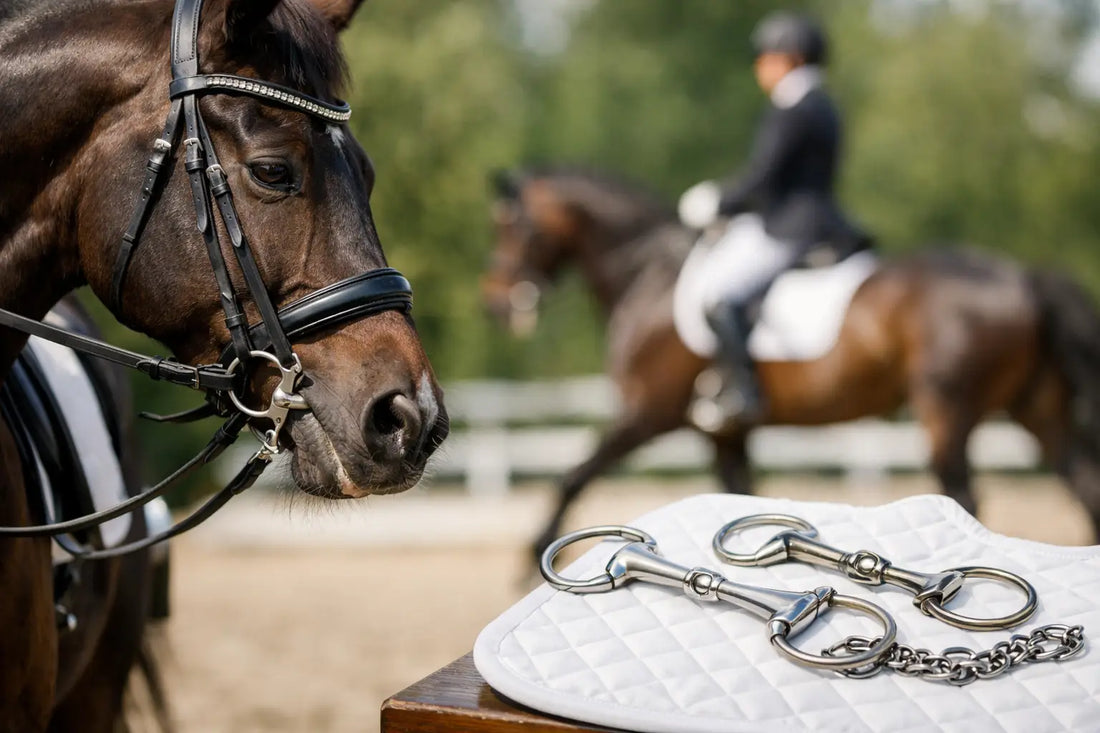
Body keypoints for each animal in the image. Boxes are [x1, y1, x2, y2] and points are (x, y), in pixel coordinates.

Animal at [482, 167, 1100, 560]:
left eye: (513, 226)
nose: (496, 304)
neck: (646, 273)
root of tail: (1023, 276)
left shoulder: (648, 412)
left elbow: (572, 476)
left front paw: (533, 556)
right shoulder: (724, 433)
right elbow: (739, 495)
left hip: (948, 409)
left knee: (965, 499)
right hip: (1039, 408)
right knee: (1083, 484)